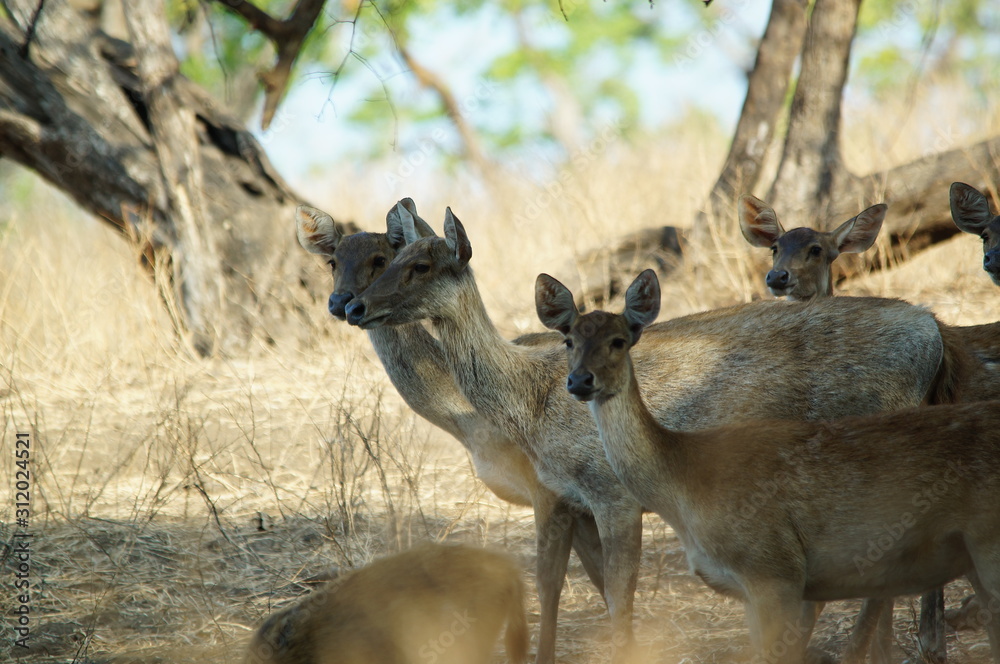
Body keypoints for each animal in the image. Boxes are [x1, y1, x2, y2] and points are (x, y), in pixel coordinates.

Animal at [295, 200, 603, 664]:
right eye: (333, 261)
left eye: (381, 258)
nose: (343, 303)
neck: (470, 423)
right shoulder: (575, 501)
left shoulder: (551, 491)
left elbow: (551, 584)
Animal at [343, 205, 953, 663]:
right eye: (392, 257)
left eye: (420, 263)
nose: (354, 305)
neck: (532, 405)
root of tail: (933, 333)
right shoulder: (569, 497)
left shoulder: (611, 493)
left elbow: (617, 598)